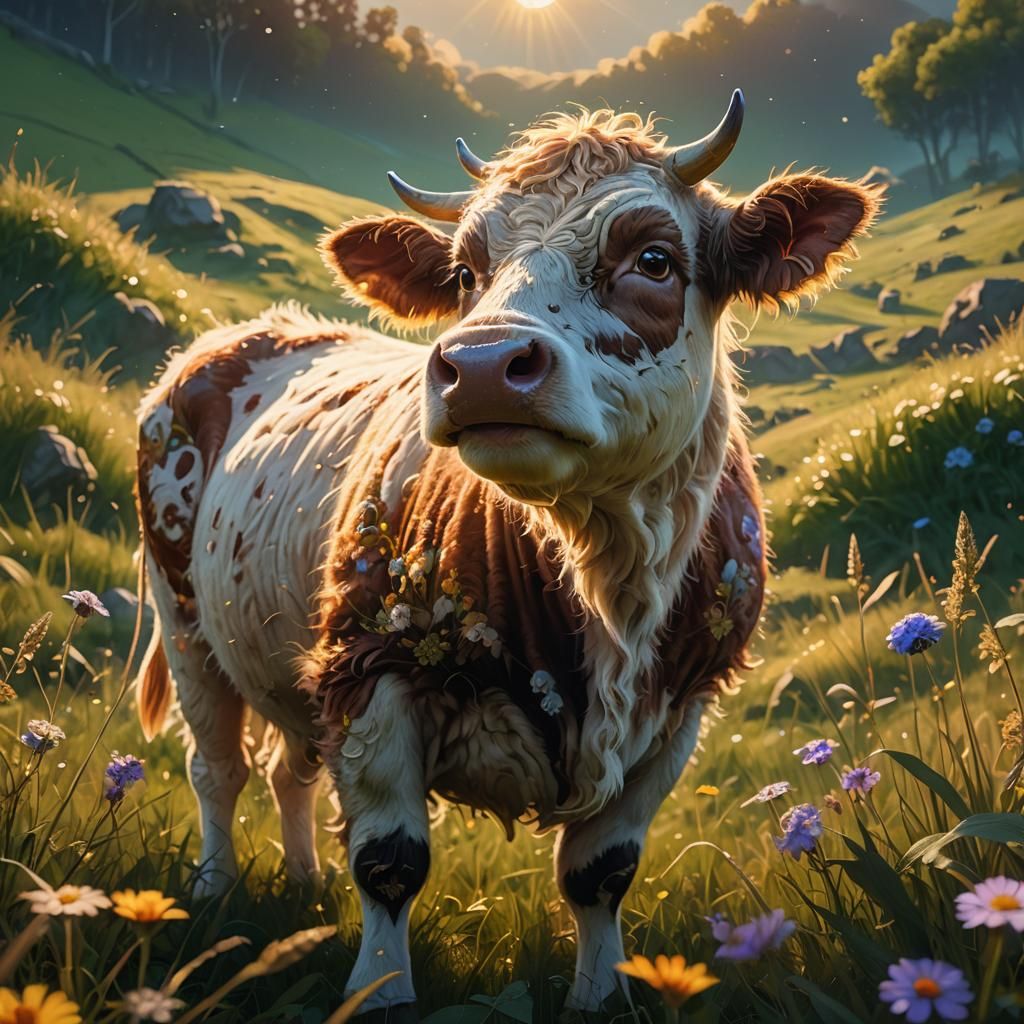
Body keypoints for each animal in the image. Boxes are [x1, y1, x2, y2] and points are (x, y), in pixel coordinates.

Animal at [135, 92, 879, 1018]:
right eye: (464, 275)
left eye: (655, 259)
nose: (484, 364)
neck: (603, 583)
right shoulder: (371, 671)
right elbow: (388, 862)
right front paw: (379, 992)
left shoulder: (681, 709)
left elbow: (602, 873)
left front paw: (600, 995)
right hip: (184, 621)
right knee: (218, 768)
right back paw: (213, 890)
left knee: (288, 769)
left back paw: (302, 885)